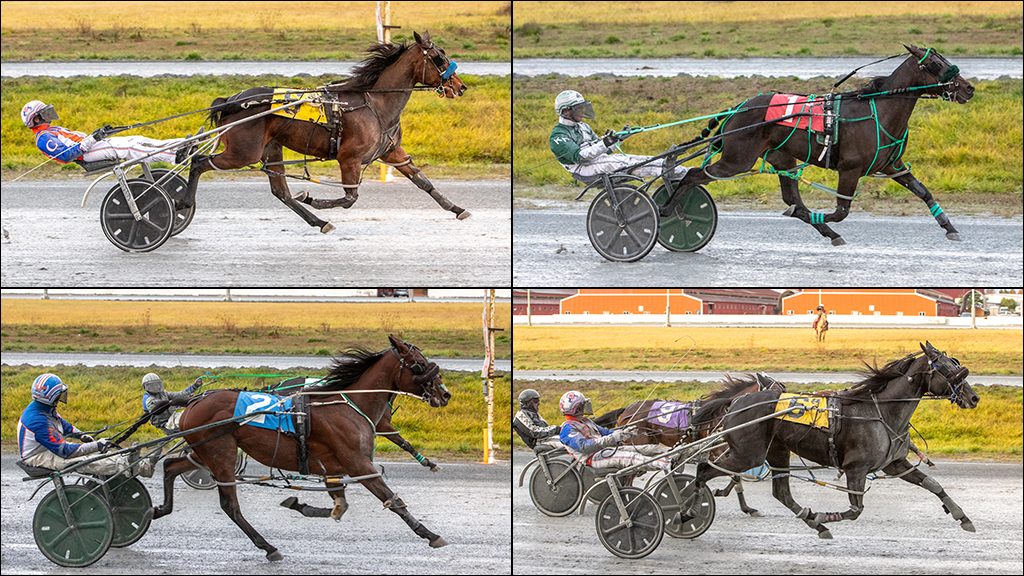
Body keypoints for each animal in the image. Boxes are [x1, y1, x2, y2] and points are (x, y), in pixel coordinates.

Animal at [150, 334, 452, 557]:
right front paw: (431, 535)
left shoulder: (334, 466)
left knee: (171, 465)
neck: (349, 405)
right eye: (419, 363)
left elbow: (340, 504)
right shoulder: (359, 464)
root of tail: (194, 401)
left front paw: (298, 503)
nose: (445, 394)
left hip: (203, 451)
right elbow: (393, 500)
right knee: (230, 506)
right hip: (220, 453)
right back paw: (268, 547)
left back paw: (158, 509)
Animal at [182, 29, 468, 233]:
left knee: (282, 192)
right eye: (438, 58)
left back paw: (319, 222)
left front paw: (456, 207)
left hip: (270, 148)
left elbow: (422, 180)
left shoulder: (391, 152)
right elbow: (350, 197)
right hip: (244, 152)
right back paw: (184, 202)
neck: (375, 103)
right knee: (199, 161)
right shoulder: (349, 158)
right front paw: (311, 198)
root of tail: (232, 100)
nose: (461, 86)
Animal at [663, 43, 974, 242]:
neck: (879, 111)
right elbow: (840, 212)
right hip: (736, 160)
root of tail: (738, 107)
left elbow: (924, 192)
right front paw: (825, 220)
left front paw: (949, 227)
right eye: (934, 64)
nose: (968, 88)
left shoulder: (892, 166)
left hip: (781, 157)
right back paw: (668, 209)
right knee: (693, 175)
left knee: (793, 200)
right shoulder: (850, 170)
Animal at [688, 338, 974, 537]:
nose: (974, 398)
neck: (879, 411)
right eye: (947, 369)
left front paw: (962, 516)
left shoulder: (894, 464)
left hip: (777, 451)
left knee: (782, 494)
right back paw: (689, 509)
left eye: (957, 365)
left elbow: (934, 485)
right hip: (748, 454)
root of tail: (737, 401)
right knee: (703, 469)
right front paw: (821, 516)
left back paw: (812, 523)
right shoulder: (856, 468)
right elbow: (856, 510)